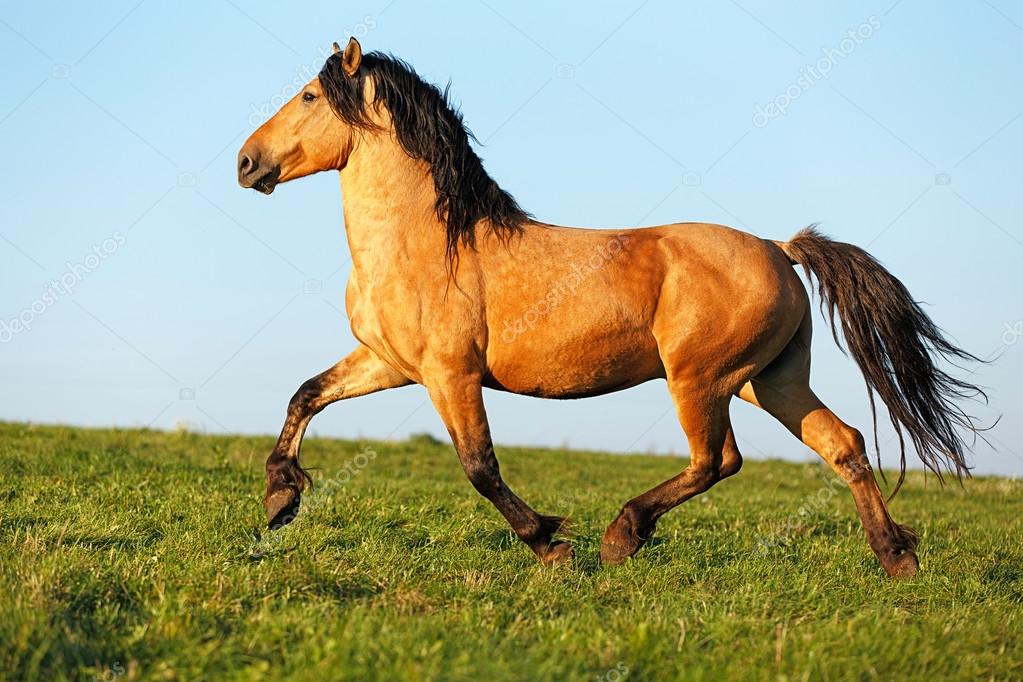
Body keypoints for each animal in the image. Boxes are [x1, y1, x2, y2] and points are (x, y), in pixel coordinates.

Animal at [236, 38, 984, 578]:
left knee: (719, 460)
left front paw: (551, 544)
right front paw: (279, 499)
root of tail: (777, 248)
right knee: (843, 444)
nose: (246, 162)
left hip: (701, 380)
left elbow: (480, 467)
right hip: (767, 381)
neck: (428, 242)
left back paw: (622, 536)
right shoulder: (390, 362)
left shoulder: (450, 374)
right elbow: (306, 395)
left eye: (309, 95)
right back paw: (896, 557)